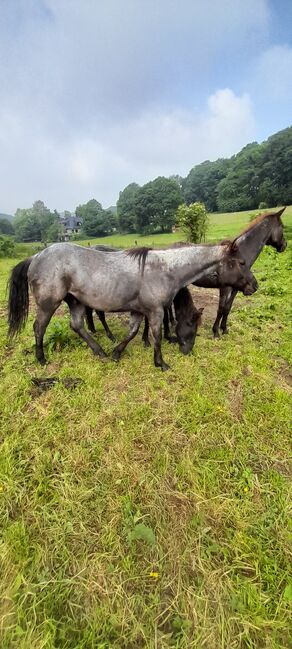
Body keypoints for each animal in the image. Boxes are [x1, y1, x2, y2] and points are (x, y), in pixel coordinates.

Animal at [7, 239, 258, 370]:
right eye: (241, 262)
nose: (254, 285)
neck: (166, 269)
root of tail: (36, 256)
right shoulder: (155, 312)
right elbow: (156, 336)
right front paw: (161, 363)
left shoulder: (138, 311)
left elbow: (132, 333)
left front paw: (116, 353)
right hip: (48, 304)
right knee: (39, 328)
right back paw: (41, 359)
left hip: (76, 302)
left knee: (77, 325)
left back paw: (101, 352)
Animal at [211, 209, 286, 340]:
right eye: (281, 226)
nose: (285, 245)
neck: (240, 253)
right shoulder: (225, 287)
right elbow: (220, 308)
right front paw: (215, 332)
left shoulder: (236, 287)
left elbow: (227, 308)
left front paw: (224, 329)